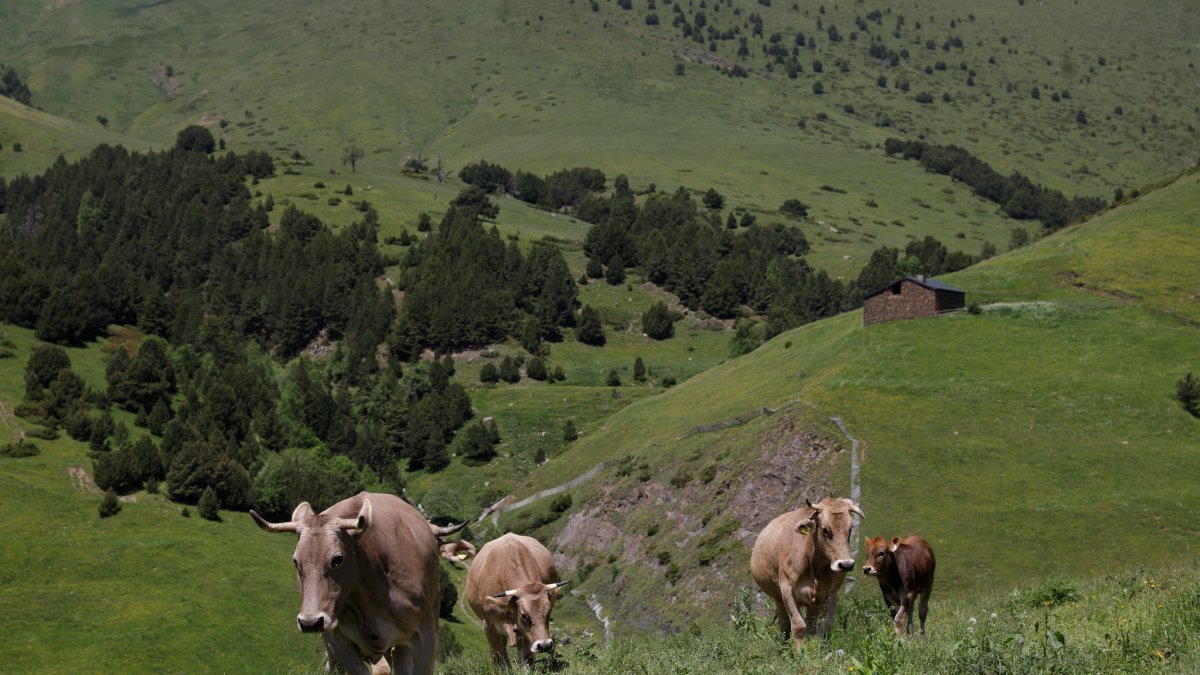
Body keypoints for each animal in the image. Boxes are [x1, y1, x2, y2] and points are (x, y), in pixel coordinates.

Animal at [463, 530, 566, 667]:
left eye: (549, 612)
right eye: (524, 615)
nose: (544, 645)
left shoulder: (524, 631)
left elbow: (527, 656)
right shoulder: (489, 625)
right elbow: (497, 656)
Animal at [748, 497, 864, 648]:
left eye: (850, 530)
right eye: (825, 530)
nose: (846, 564)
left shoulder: (828, 594)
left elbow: (822, 627)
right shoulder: (787, 590)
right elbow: (798, 626)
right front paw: (799, 653)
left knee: (813, 627)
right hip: (778, 598)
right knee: (784, 627)